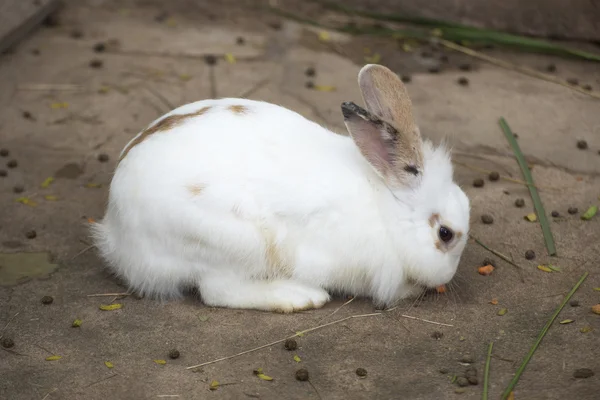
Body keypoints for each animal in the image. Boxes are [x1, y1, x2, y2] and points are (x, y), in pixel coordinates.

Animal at [91, 64, 472, 312]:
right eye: (445, 234)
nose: (450, 275)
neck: (387, 209)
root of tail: (117, 235)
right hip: (232, 243)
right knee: (217, 291)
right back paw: (299, 297)